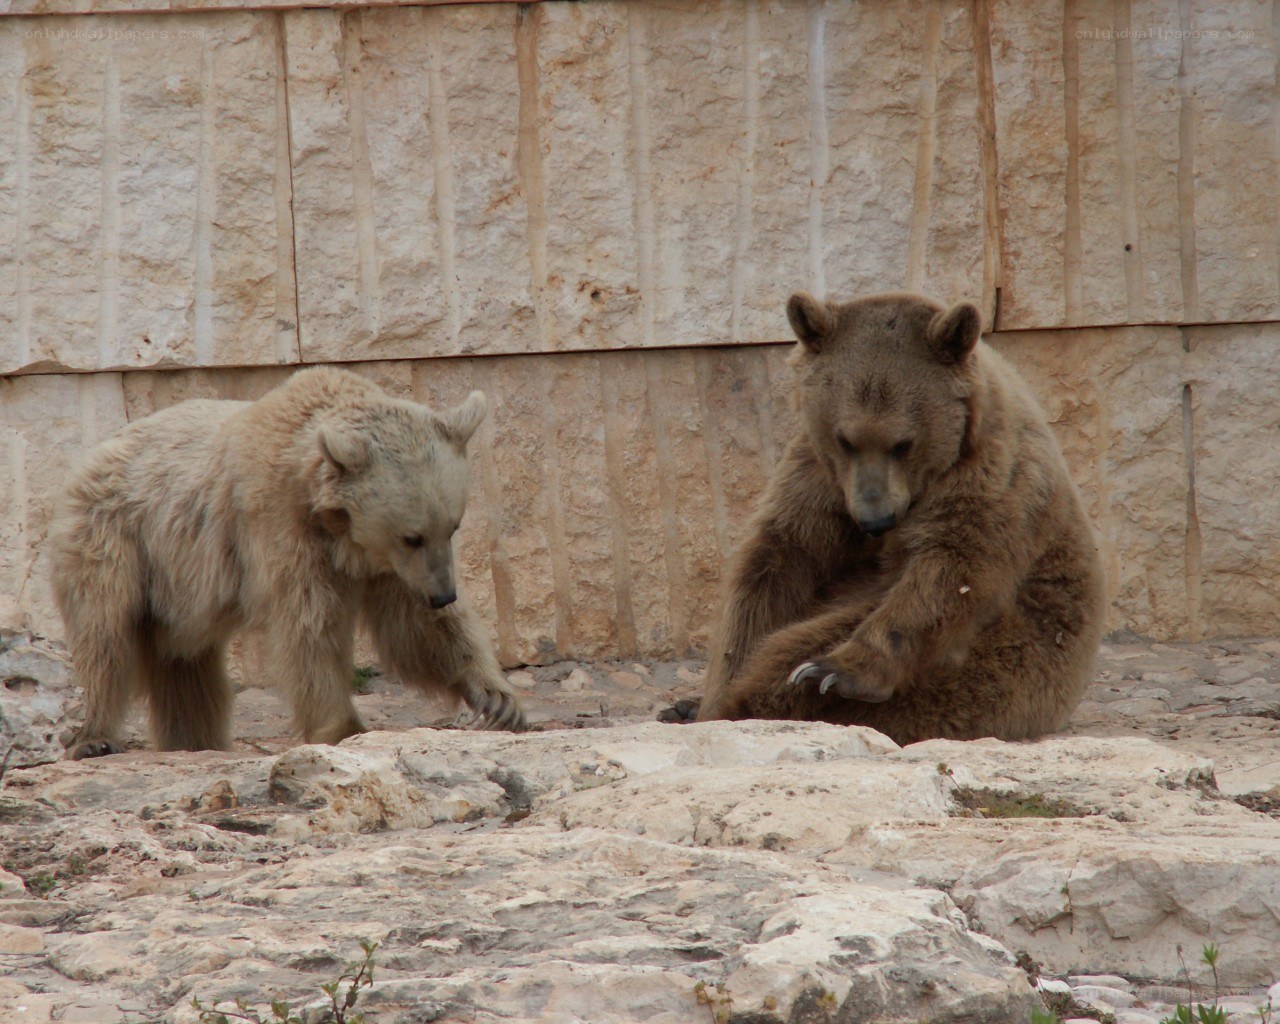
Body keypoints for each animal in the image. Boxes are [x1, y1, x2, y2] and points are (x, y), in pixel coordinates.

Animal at [51, 366, 523, 760]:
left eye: (453, 526)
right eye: (412, 536)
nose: (444, 595)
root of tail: (87, 458)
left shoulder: (387, 566)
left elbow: (416, 628)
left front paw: (498, 699)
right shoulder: (281, 527)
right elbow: (310, 626)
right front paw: (343, 726)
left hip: (175, 599)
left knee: (187, 671)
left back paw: (195, 740)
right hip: (117, 537)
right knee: (105, 633)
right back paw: (95, 737)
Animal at [695, 291, 1106, 744]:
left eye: (903, 442)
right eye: (845, 439)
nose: (876, 519)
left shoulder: (990, 479)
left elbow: (949, 572)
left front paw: (834, 670)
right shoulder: (818, 480)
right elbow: (776, 564)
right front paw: (717, 687)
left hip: (1005, 660)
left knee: (799, 645)